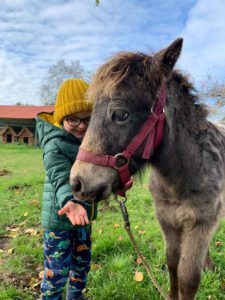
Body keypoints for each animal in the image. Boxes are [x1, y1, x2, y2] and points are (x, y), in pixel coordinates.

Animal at [70, 38, 225, 298]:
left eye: (121, 114)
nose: (77, 183)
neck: (180, 180)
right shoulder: (167, 220)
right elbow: (172, 265)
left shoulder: (200, 223)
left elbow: (188, 276)